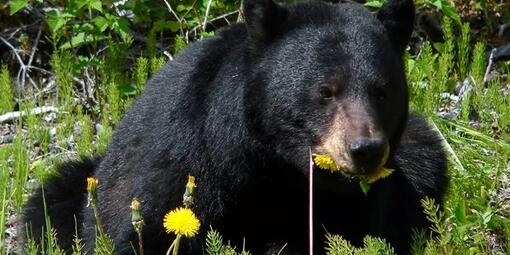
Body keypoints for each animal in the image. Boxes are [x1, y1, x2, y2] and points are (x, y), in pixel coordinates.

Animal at [22, 0, 446, 254]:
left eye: (382, 90)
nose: (365, 150)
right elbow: (147, 230)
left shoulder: (356, 201)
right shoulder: (183, 163)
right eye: (325, 90)